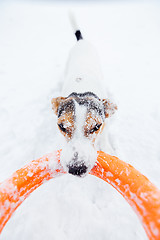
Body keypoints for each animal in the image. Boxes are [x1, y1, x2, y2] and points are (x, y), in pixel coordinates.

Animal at [51, 15, 117, 176]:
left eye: (96, 126)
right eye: (62, 126)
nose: (76, 168)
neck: (82, 89)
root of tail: (81, 41)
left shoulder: (105, 120)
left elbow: (105, 134)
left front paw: (107, 148)